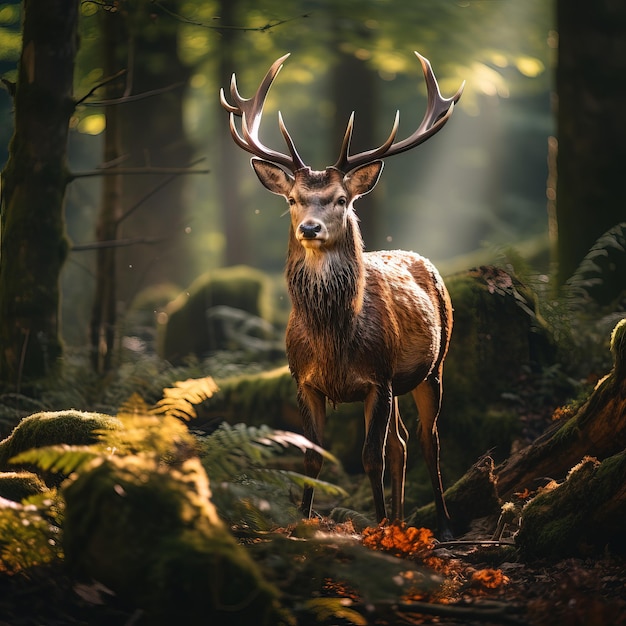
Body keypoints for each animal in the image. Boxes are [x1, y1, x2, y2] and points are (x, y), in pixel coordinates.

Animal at [221, 51, 464, 536]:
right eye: (293, 198)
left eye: (339, 199)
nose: (309, 228)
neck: (334, 340)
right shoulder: (304, 381)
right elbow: (312, 457)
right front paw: (303, 522)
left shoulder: (378, 378)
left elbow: (370, 458)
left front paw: (378, 528)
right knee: (402, 443)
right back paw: (403, 521)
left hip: (435, 363)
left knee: (428, 440)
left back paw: (441, 524)